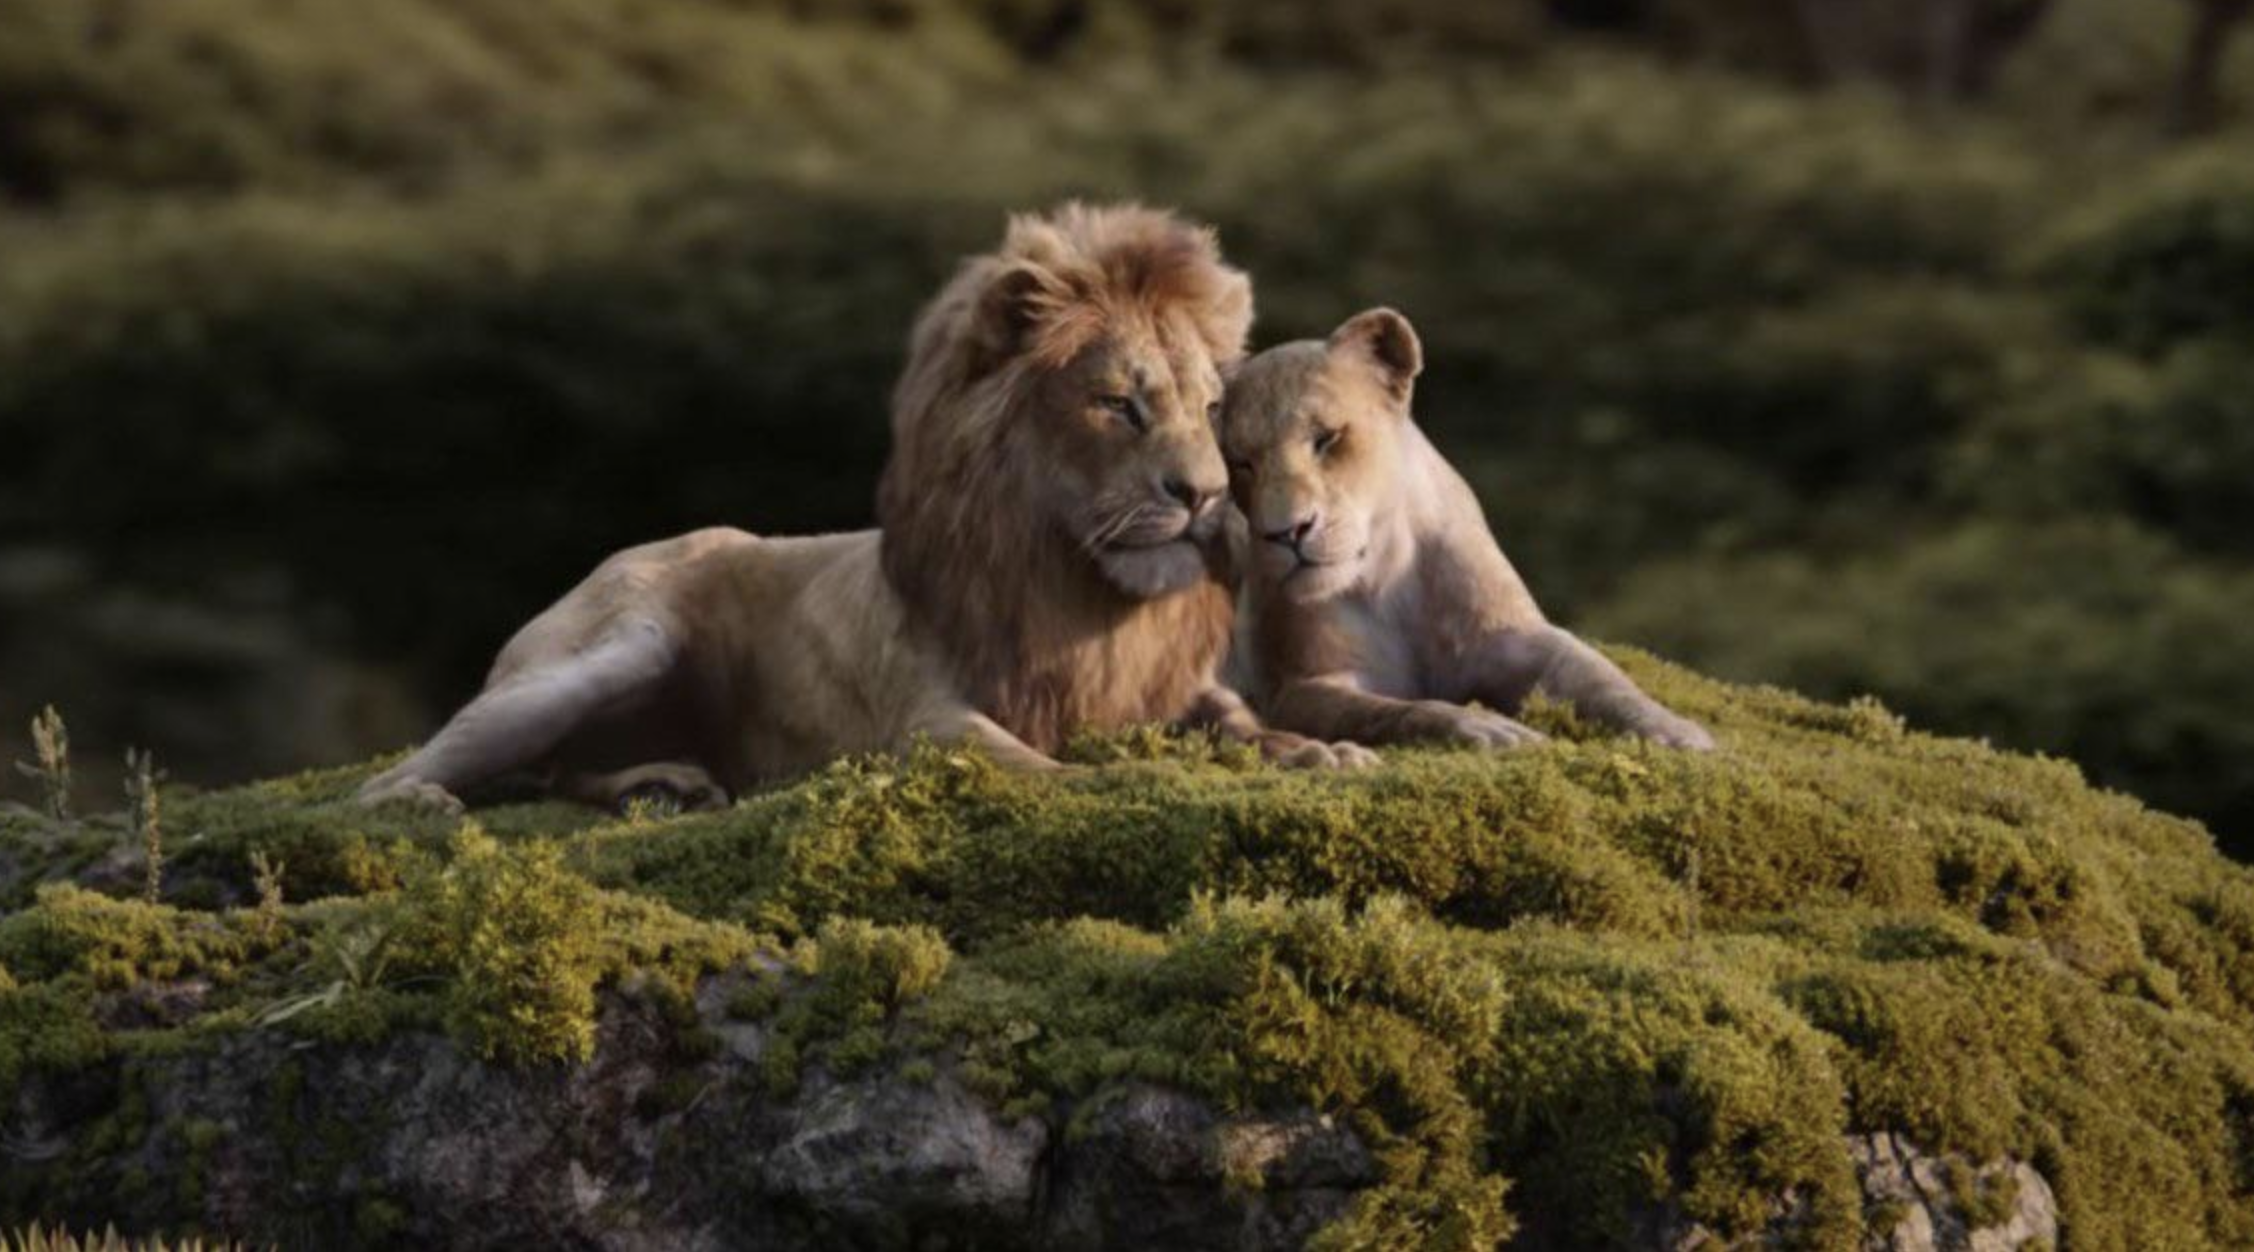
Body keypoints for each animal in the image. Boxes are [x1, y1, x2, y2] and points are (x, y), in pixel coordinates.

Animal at [357, 204, 1366, 814]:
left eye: (1211, 407)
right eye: (1118, 404)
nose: (1203, 496)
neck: (1083, 591)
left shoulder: (1171, 687)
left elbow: (1244, 723)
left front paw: (1319, 753)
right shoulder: (919, 721)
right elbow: (1036, 764)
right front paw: (1120, 778)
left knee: (561, 770)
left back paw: (668, 782)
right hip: (618, 646)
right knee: (414, 773)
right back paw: (419, 800)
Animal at [1218, 307, 1714, 752]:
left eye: (1326, 438)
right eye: (1240, 462)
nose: (1285, 532)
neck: (1385, 574)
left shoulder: (1513, 637)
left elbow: (1599, 676)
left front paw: (1676, 732)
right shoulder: (1300, 687)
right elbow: (1396, 710)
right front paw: (1488, 729)